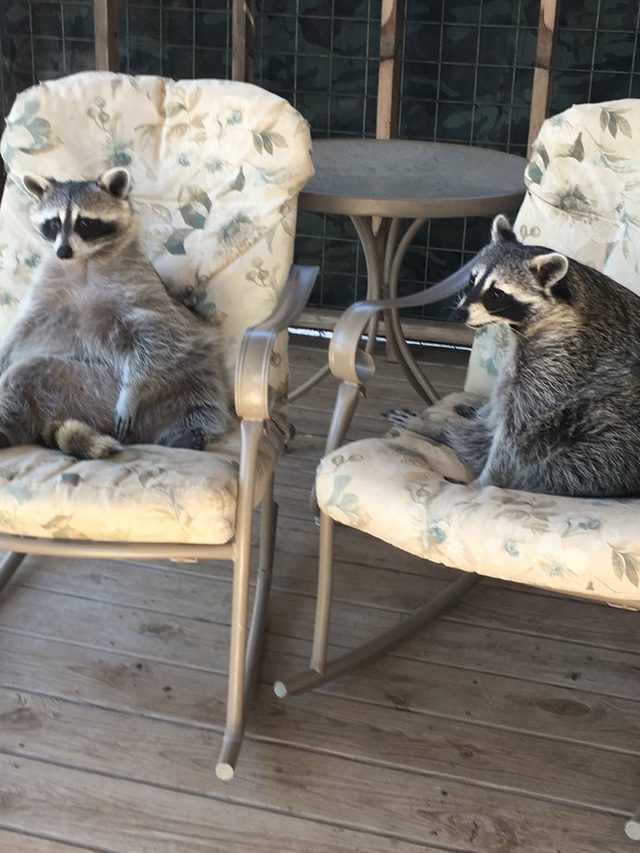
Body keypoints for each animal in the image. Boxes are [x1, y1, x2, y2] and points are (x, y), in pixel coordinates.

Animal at [0, 167, 230, 459]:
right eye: (53, 223)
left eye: (85, 223)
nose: (63, 251)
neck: (84, 261)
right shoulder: (48, 293)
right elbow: (23, 328)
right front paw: (3, 355)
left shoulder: (143, 290)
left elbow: (159, 336)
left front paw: (133, 389)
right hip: (73, 380)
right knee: (23, 376)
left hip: (189, 368)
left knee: (202, 392)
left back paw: (185, 432)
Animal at [386, 215, 640, 498]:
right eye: (471, 281)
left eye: (496, 294)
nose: (458, 315)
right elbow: (503, 395)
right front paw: (476, 416)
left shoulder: (562, 363)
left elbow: (516, 435)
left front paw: (483, 479)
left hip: (603, 446)